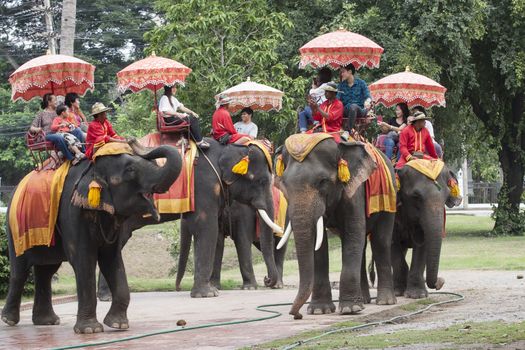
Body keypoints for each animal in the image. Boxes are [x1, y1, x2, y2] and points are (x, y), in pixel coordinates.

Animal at [2, 142, 182, 334]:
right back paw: (9, 320)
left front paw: (118, 325)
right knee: (20, 270)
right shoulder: (73, 210)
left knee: (47, 270)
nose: (132, 140)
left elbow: (112, 259)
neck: (93, 168)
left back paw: (47, 322)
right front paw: (90, 330)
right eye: (130, 169)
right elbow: (84, 259)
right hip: (14, 228)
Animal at [276, 135, 396, 322]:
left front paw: (349, 309)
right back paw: (364, 301)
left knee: (380, 241)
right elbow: (320, 245)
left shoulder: (354, 190)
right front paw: (319, 310)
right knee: (361, 247)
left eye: (323, 181)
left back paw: (384, 301)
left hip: (389, 199)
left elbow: (354, 230)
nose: (296, 315)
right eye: (284, 184)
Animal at [390, 161, 460, 298]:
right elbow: (391, 242)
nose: (440, 282)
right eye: (416, 196)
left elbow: (423, 243)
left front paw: (418, 295)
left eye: (446, 196)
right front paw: (400, 292)